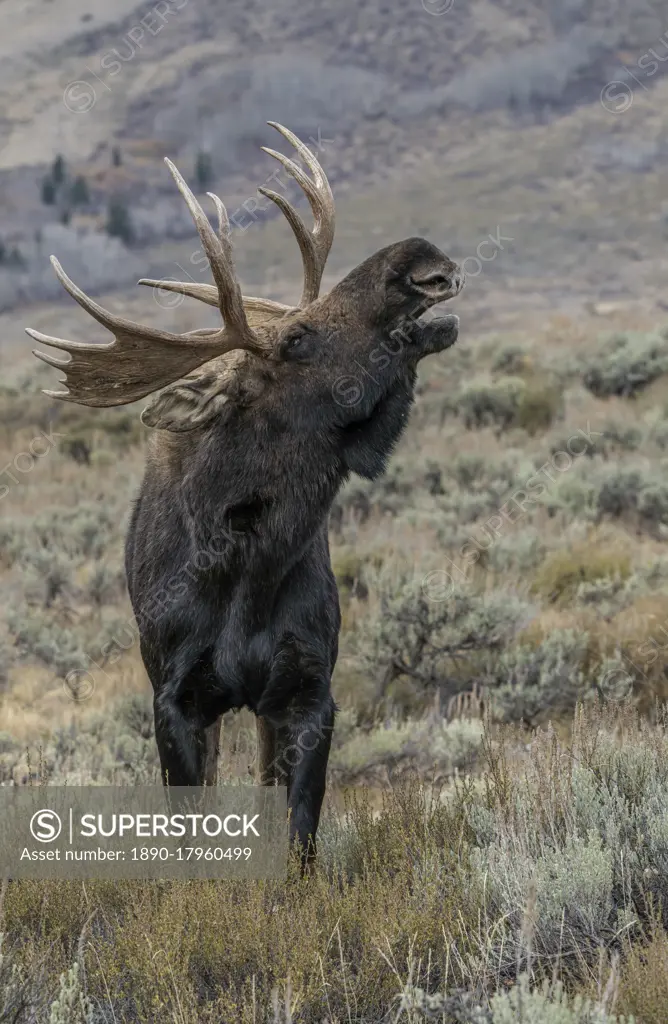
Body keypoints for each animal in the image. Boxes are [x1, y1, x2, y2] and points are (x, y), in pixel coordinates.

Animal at [27, 123, 465, 868]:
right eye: (295, 336)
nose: (419, 258)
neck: (249, 568)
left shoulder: (307, 692)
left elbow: (297, 838)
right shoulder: (176, 699)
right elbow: (190, 838)